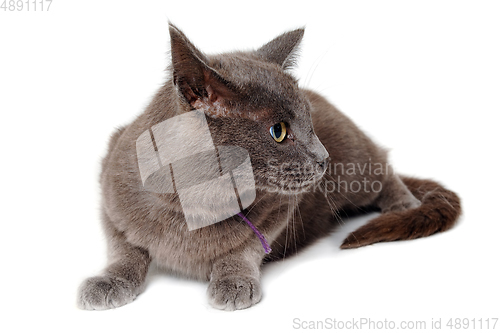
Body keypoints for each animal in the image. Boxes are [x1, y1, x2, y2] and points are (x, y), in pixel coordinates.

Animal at [78, 24, 460, 310]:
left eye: (309, 122)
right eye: (278, 131)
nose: (323, 158)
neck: (194, 206)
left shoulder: (281, 207)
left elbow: (245, 246)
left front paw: (233, 280)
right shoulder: (110, 190)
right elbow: (123, 246)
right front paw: (108, 280)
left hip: (358, 163)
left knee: (385, 168)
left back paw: (404, 206)